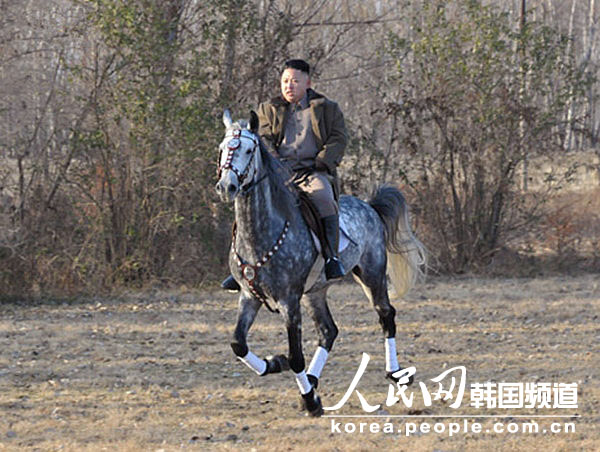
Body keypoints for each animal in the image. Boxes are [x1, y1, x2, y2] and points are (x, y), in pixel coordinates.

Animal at [216, 110, 426, 416]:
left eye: (248, 149)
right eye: (222, 149)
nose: (226, 186)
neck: (259, 235)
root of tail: (370, 207)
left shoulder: (289, 301)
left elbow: (295, 356)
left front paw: (310, 401)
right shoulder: (249, 296)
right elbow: (238, 344)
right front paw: (274, 363)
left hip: (372, 275)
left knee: (386, 315)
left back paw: (394, 372)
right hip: (315, 292)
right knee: (328, 331)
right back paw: (313, 379)